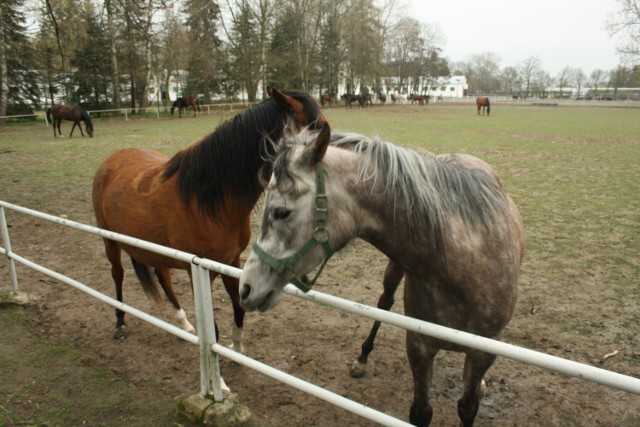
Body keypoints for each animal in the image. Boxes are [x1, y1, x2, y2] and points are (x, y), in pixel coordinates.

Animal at [92, 87, 328, 348]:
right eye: (320, 127)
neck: (209, 201)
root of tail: (111, 159)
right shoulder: (196, 271)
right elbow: (212, 330)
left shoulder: (231, 261)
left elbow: (238, 306)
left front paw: (236, 346)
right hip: (110, 241)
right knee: (118, 275)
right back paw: (120, 321)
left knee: (163, 277)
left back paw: (183, 323)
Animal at [240, 122, 524, 426]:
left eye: (281, 212)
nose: (245, 287)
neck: (463, 263)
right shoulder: (419, 346)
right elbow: (421, 411)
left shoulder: (482, 354)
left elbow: (468, 407)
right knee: (384, 303)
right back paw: (363, 357)